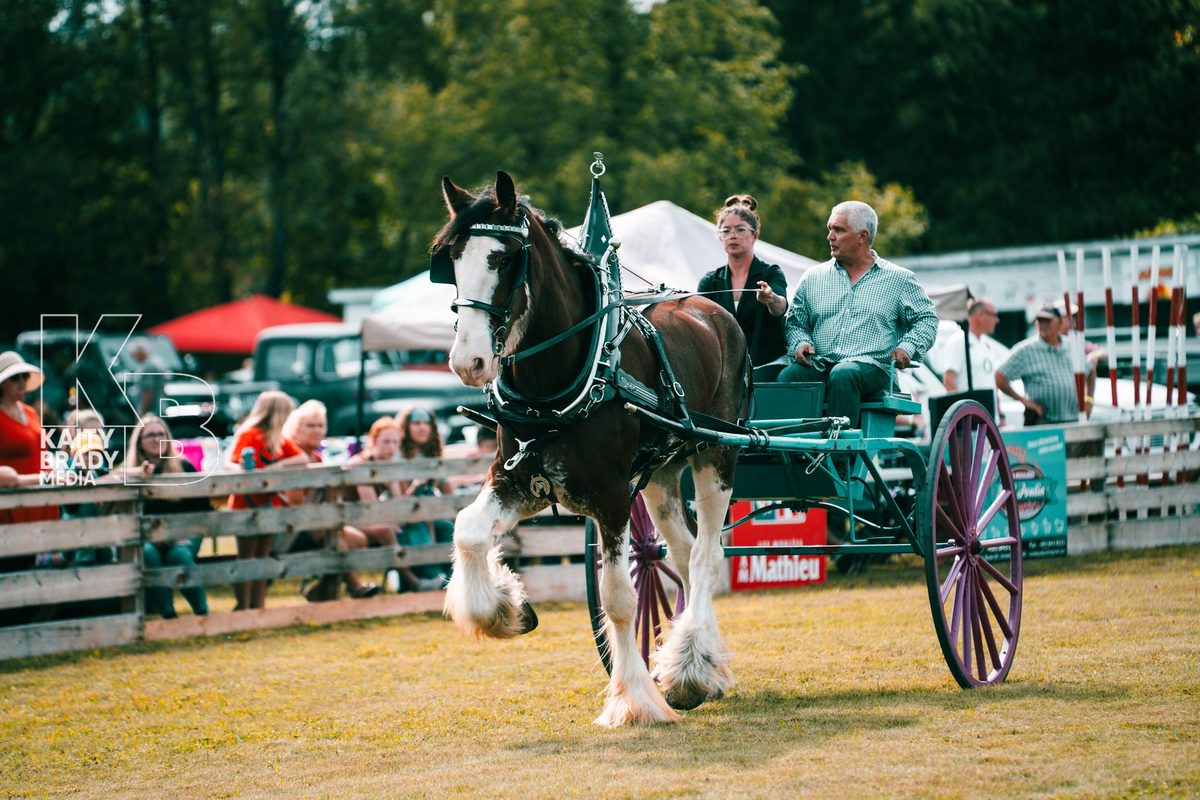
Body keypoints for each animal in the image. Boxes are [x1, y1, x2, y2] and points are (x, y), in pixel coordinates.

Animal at [431, 171, 749, 726]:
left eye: (505, 260)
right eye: (452, 258)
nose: (467, 361)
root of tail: (713, 308)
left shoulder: (610, 496)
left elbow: (618, 598)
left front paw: (636, 700)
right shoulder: (518, 478)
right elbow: (468, 530)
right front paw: (506, 609)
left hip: (716, 456)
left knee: (707, 556)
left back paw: (689, 668)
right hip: (661, 476)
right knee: (681, 552)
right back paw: (697, 667)